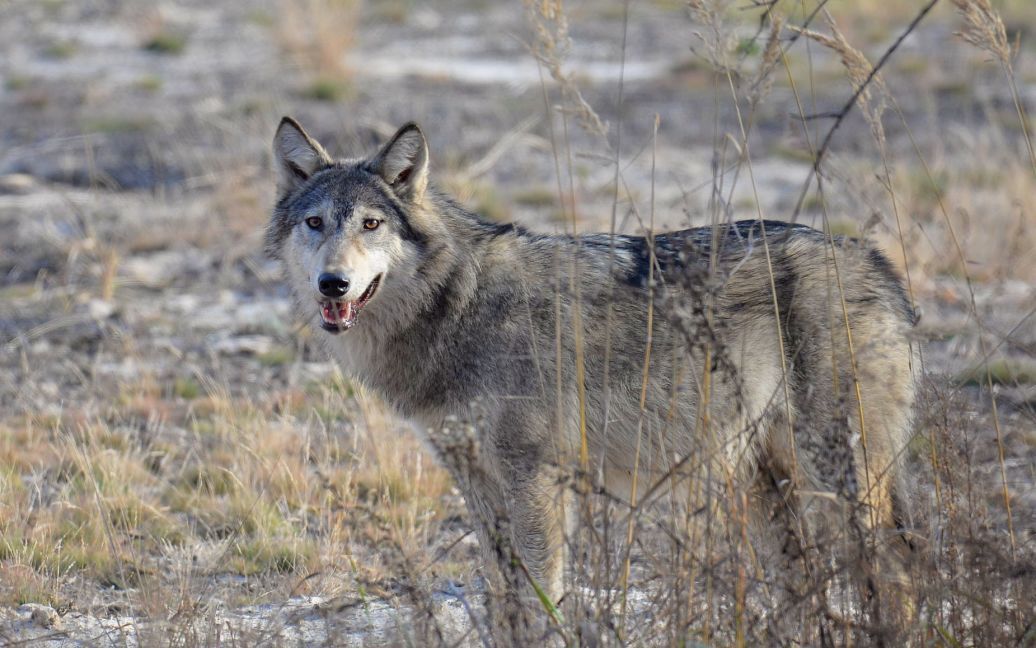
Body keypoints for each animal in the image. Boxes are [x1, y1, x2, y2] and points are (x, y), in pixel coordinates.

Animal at [265, 116, 915, 617]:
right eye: (315, 223)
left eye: (371, 224)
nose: (333, 283)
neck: (457, 305)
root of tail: (877, 263)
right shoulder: (478, 484)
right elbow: (504, 603)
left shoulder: (536, 479)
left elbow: (542, 603)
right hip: (767, 484)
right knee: (805, 585)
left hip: (839, 478)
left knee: (896, 574)